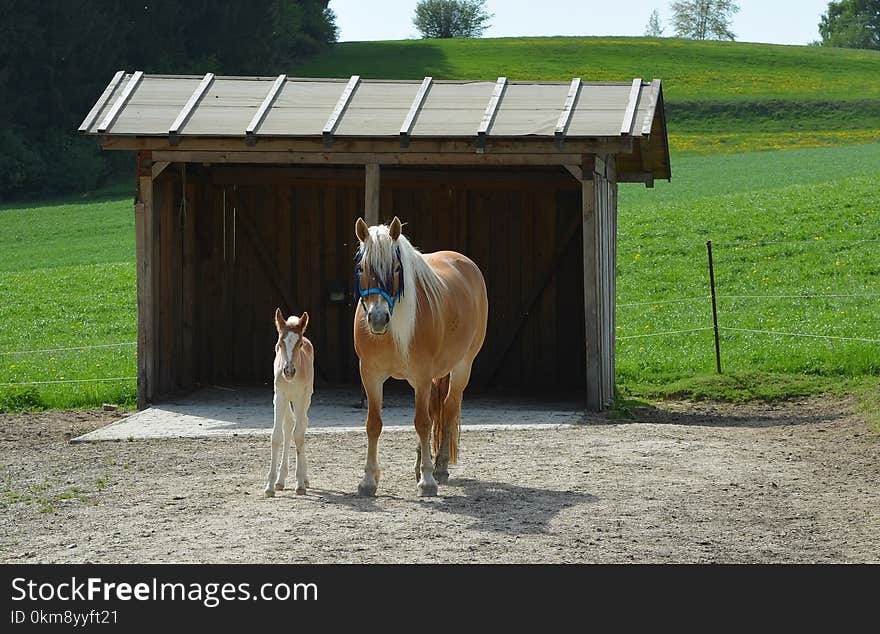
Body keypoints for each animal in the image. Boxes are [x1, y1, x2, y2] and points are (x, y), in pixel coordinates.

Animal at [262, 308, 314, 496]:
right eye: (280, 343)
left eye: (299, 345)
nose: (289, 371)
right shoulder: (279, 397)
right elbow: (276, 436)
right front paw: (270, 486)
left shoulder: (299, 397)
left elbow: (299, 435)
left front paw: (300, 484)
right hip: (286, 401)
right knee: (289, 426)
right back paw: (280, 480)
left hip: (306, 398)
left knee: (302, 425)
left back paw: (304, 478)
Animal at [352, 215, 488, 496]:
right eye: (361, 268)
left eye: (396, 268)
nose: (378, 319)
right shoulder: (370, 375)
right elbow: (374, 424)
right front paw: (369, 479)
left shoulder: (423, 375)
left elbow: (423, 423)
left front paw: (427, 480)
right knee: (435, 409)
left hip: (462, 367)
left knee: (448, 409)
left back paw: (440, 468)